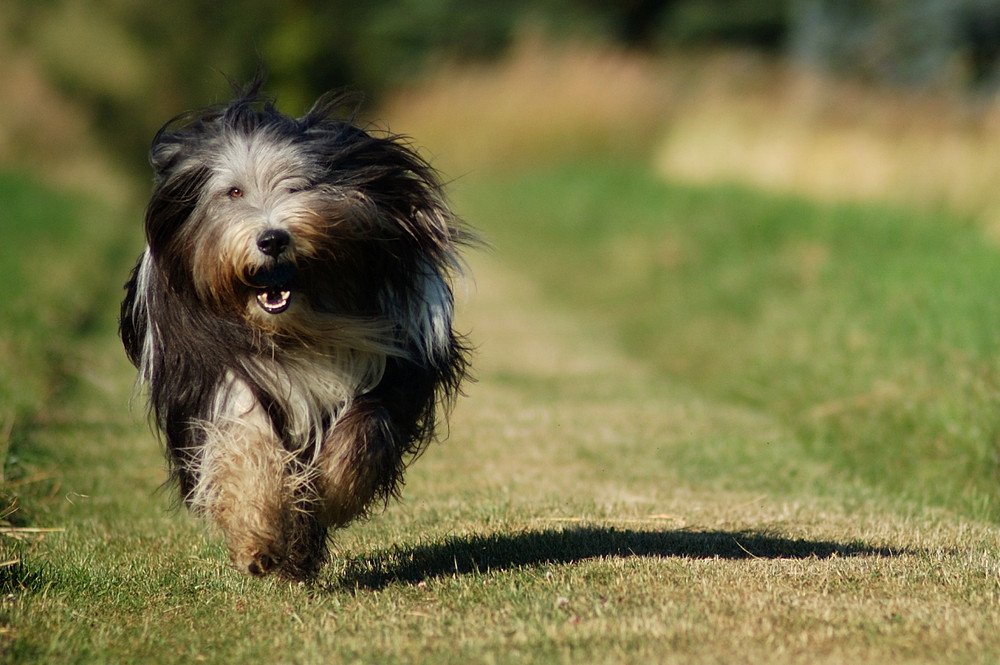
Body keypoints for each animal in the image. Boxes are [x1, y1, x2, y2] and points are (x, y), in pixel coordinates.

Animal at [121, 76, 472, 576]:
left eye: (298, 186)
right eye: (232, 192)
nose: (272, 239)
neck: (298, 327)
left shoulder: (394, 362)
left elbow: (364, 428)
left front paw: (335, 491)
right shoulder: (221, 371)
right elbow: (245, 439)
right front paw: (255, 538)